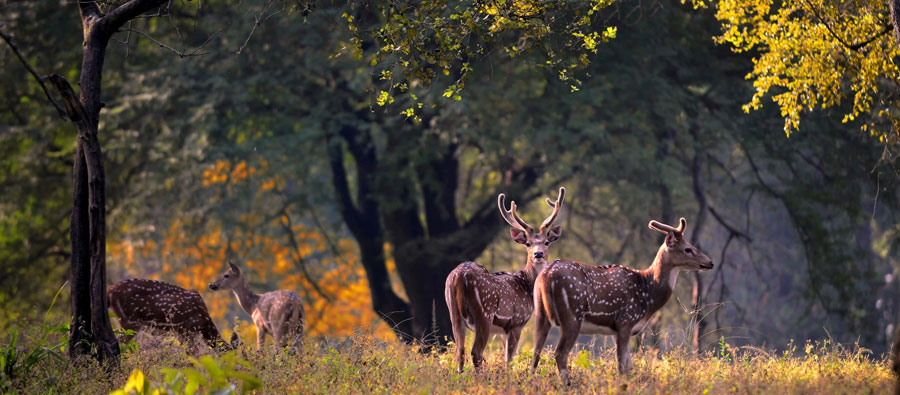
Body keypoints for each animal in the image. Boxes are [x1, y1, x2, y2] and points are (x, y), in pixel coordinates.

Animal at [106, 278, 237, 352]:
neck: (203, 324)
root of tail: (110, 291)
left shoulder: (180, 333)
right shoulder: (187, 330)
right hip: (130, 320)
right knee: (117, 342)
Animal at [442, 187, 564, 372]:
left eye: (547, 242)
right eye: (528, 243)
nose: (538, 254)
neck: (527, 285)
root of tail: (460, 276)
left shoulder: (502, 331)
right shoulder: (516, 323)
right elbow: (509, 360)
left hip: (453, 312)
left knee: (460, 351)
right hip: (484, 313)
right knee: (475, 352)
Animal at [532, 218, 712, 386]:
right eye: (688, 249)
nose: (710, 262)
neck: (648, 295)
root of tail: (547, 274)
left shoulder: (615, 330)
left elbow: (629, 365)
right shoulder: (626, 321)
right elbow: (622, 366)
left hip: (540, 312)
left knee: (536, 351)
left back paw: (530, 379)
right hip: (572, 314)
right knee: (560, 353)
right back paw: (567, 385)